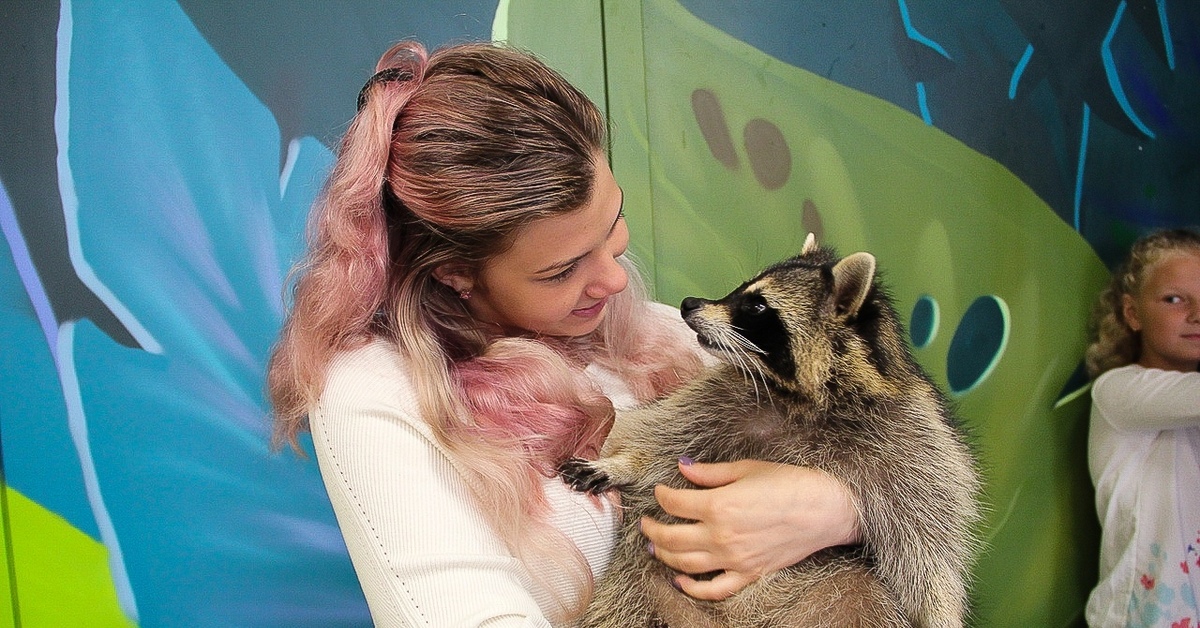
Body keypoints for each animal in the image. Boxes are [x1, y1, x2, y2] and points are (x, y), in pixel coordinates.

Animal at [556, 237, 979, 628]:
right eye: (742, 289)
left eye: (758, 306)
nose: (689, 304)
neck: (806, 398)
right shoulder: (720, 399)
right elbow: (664, 434)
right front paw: (623, 463)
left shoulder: (913, 439)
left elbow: (930, 544)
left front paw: (941, 610)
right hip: (642, 585)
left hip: (847, 590)